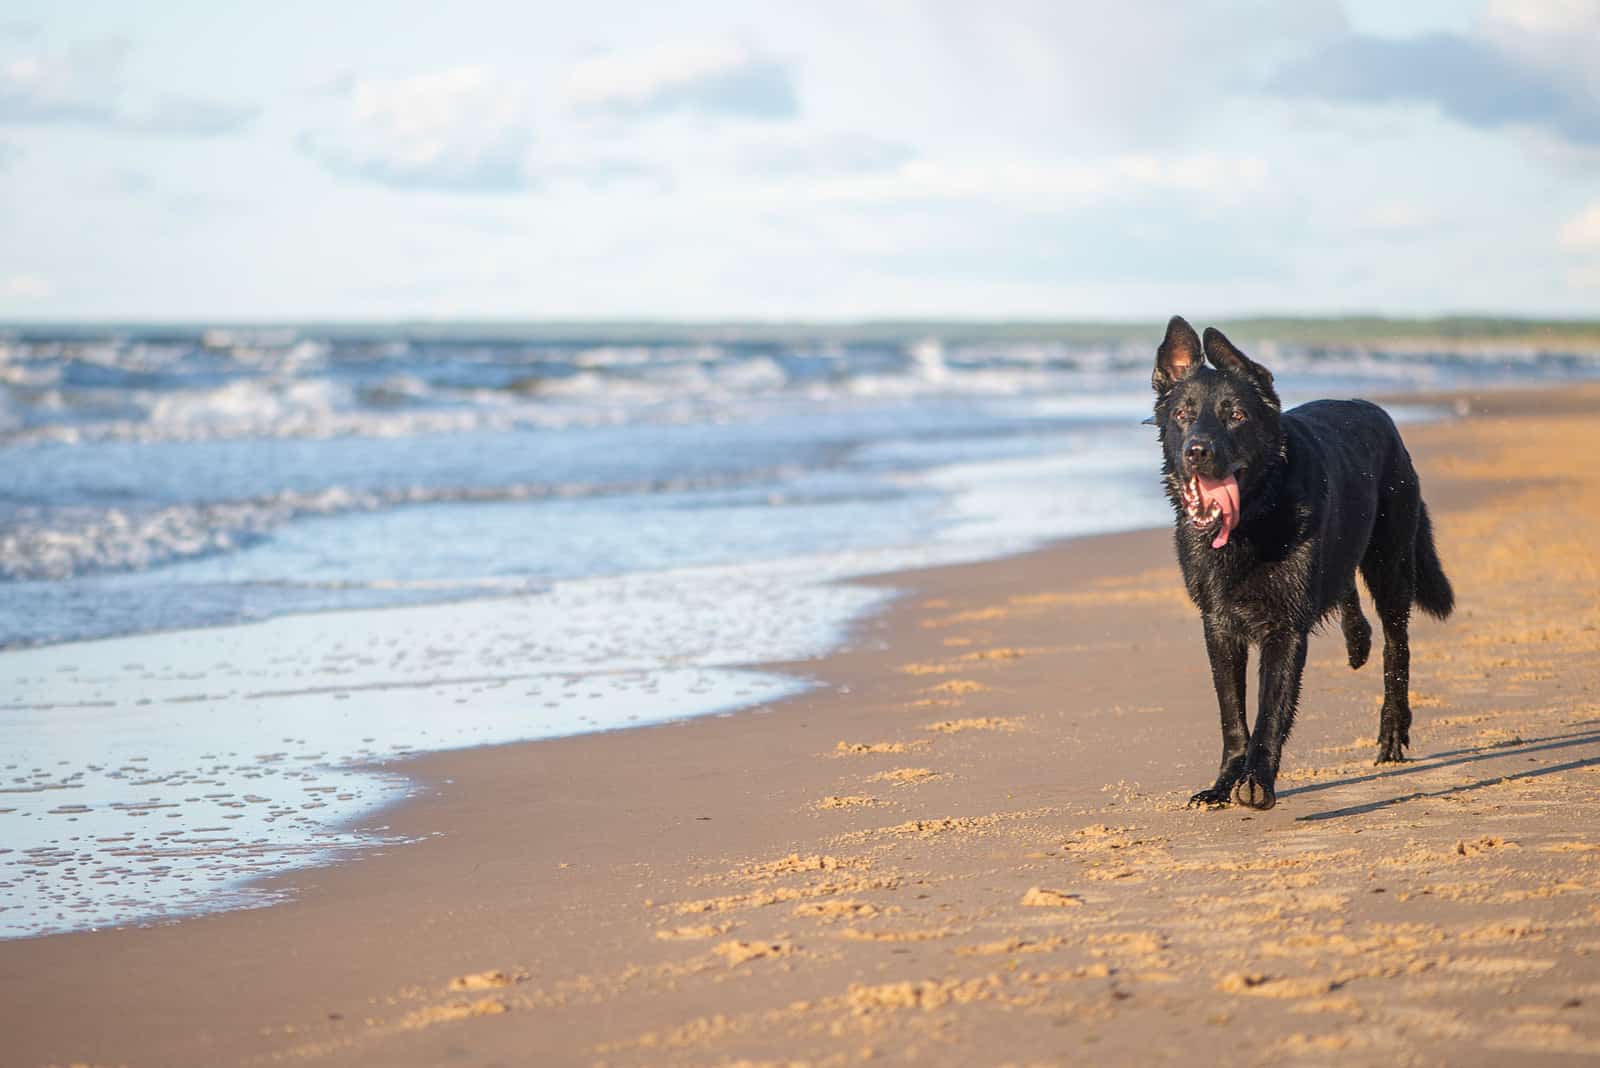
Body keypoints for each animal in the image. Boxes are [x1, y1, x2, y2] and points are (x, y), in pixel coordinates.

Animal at [1152, 316, 1452, 808]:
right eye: (1183, 416)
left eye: (1237, 416)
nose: (1197, 450)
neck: (1252, 521)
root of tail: (1379, 413)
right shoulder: (1219, 627)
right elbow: (1232, 715)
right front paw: (1222, 784)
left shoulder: (1285, 630)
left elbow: (1271, 712)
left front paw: (1256, 780)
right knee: (1346, 589)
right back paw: (1357, 641)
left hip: (1390, 566)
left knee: (1397, 648)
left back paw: (1392, 732)